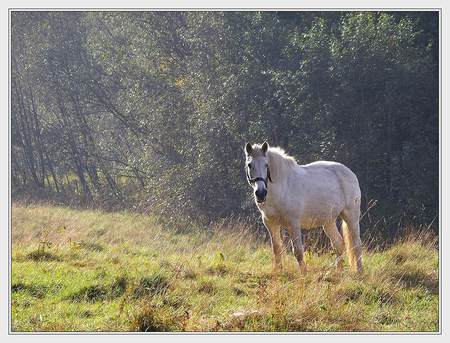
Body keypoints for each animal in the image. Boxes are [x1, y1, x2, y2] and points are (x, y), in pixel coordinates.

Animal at [244, 142, 364, 274]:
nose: (260, 193)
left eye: (266, 165)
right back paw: (338, 272)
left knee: (356, 245)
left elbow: (298, 251)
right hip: (328, 222)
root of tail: (350, 173)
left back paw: (359, 272)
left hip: (351, 217)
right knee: (339, 244)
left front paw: (304, 274)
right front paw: (278, 272)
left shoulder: (293, 224)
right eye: (250, 165)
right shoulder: (270, 223)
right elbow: (276, 249)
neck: (283, 186)